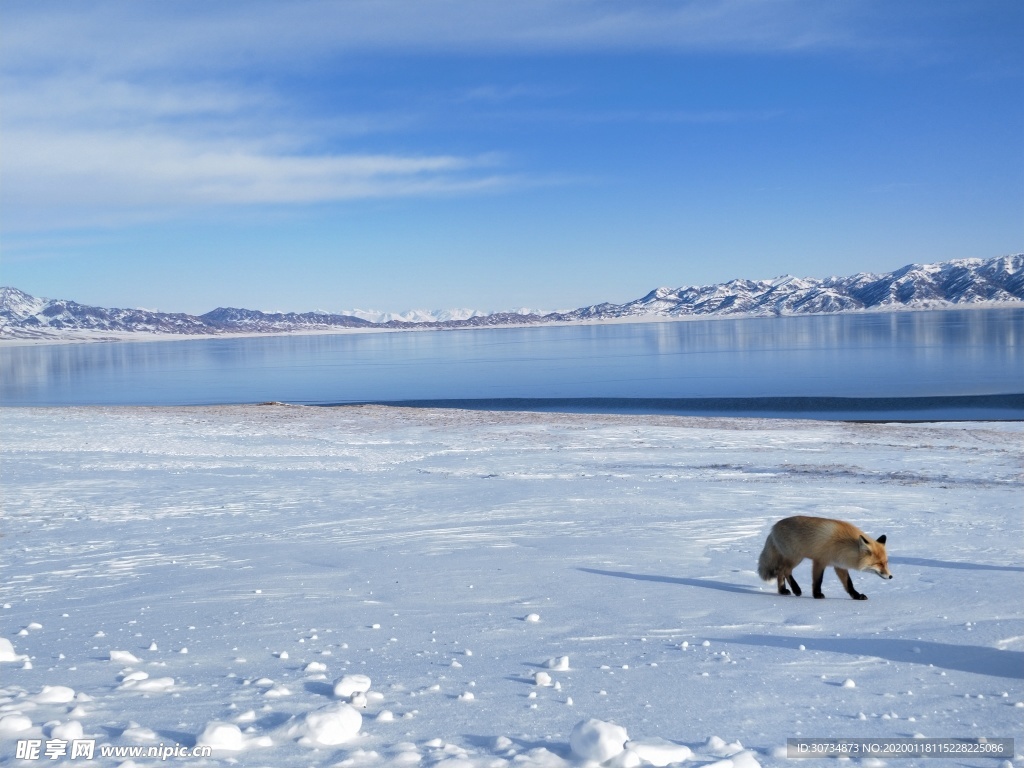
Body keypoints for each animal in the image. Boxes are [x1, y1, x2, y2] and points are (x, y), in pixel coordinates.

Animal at [757, 518, 892, 602]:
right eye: (879, 564)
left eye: (886, 562)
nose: (891, 576)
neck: (844, 546)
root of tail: (773, 528)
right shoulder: (820, 561)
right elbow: (818, 581)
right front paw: (817, 595)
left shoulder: (839, 565)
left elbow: (849, 584)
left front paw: (856, 596)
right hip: (796, 557)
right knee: (785, 571)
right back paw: (796, 589)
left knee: (780, 571)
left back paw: (782, 590)